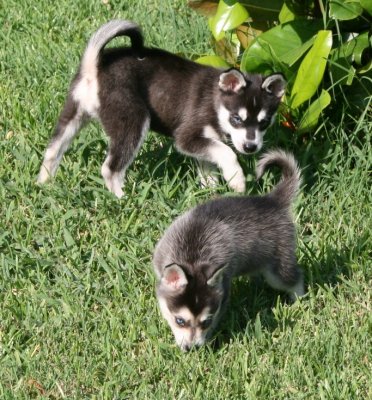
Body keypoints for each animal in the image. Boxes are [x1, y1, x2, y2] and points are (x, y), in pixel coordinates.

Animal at [37, 19, 286, 198]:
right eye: (237, 119)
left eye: (264, 122)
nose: (251, 147)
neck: (215, 102)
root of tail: (95, 67)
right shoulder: (186, 137)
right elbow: (227, 152)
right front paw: (237, 180)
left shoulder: (203, 144)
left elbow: (209, 167)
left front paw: (210, 191)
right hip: (134, 120)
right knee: (110, 169)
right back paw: (123, 198)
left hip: (73, 115)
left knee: (52, 150)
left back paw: (43, 183)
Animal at [153, 149, 304, 350]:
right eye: (180, 321)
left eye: (206, 322)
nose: (192, 348)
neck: (192, 259)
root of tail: (272, 200)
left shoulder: (222, 291)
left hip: (278, 268)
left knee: (295, 278)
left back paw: (299, 301)